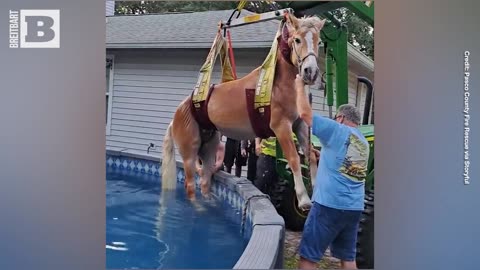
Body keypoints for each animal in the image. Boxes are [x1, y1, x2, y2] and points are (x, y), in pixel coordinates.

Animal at [161, 12, 326, 211]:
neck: (277, 84)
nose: (311, 72)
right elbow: (294, 158)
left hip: (209, 147)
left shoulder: (300, 125)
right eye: (297, 39)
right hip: (189, 152)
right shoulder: (281, 127)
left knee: (205, 181)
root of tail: (178, 113)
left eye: (318, 41)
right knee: (190, 184)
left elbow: (311, 156)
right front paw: (303, 200)